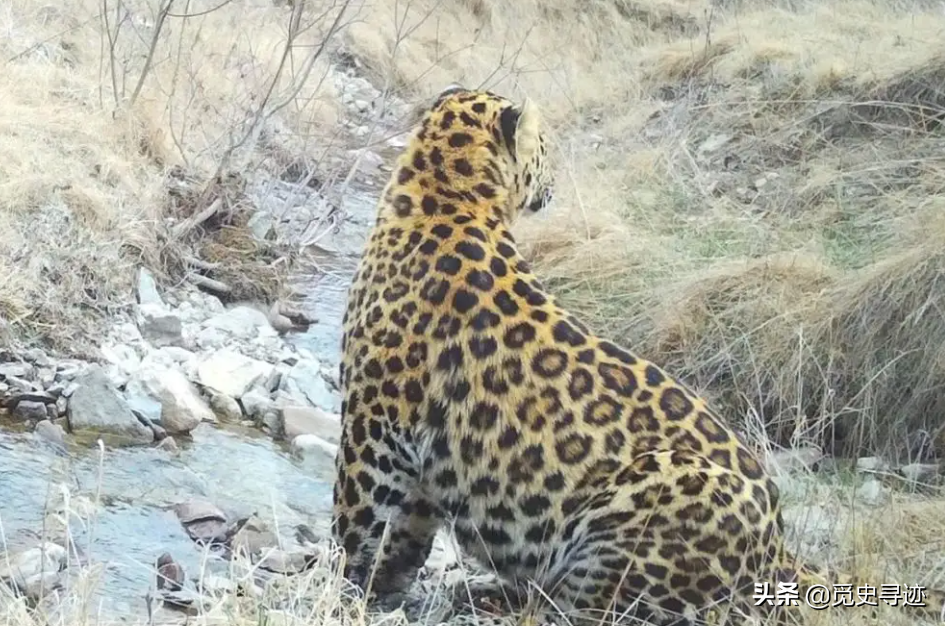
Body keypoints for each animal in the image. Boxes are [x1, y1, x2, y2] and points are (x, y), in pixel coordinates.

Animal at [330, 84, 944, 624]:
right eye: (546, 146)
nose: (556, 183)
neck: (449, 193)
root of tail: (778, 552)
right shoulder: (401, 439)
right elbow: (399, 529)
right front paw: (376, 586)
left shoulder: (373, 418)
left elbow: (354, 517)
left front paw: (339, 584)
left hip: (648, 496)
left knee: (588, 608)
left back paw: (488, 596)